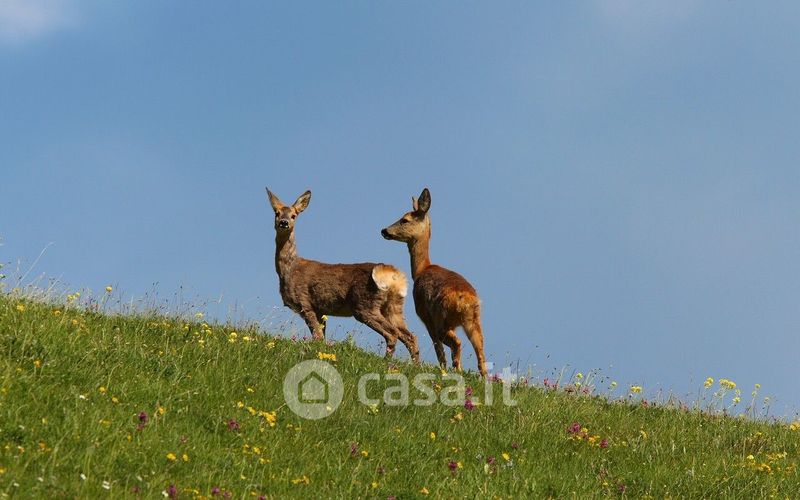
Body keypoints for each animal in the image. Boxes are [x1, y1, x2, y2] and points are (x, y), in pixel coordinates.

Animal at [268, 189, 422, 362]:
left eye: (294, 215)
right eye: (277, 212)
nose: (284, 223)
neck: (290, 268)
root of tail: (392, 273)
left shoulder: (305, 303)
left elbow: (318, 337)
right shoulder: (321, 310)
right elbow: (322, 338)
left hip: (364, 304)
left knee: (392, 333)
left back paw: (386, 362)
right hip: (394, 306)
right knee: (410, 337)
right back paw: (415, 365)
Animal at [382, 188, 488, 376]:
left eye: (405, 219)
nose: (384, 230)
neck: (421, 270)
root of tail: (465, 300)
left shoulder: (424, 314)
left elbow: (438, 348)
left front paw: (442, 368)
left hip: (442, 319)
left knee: (455, 343)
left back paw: (455, 371)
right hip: (474, 321)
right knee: (481, 354)